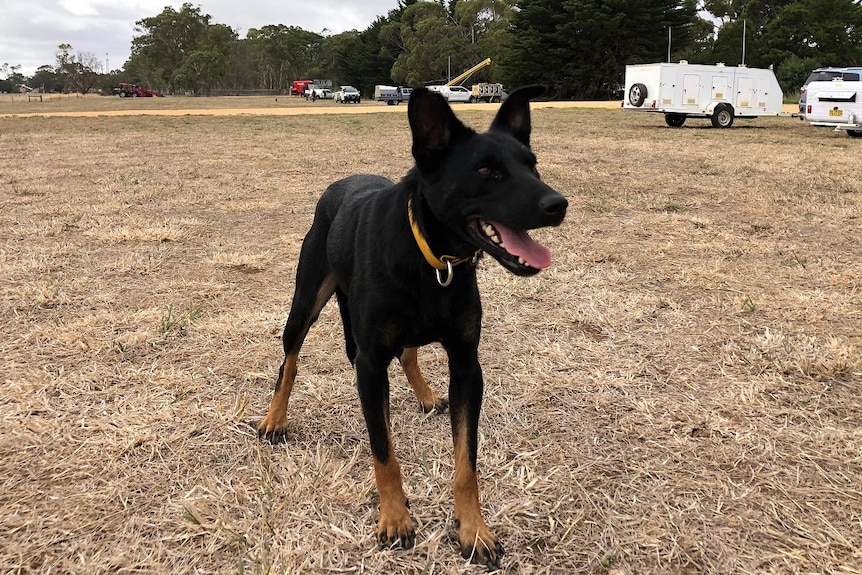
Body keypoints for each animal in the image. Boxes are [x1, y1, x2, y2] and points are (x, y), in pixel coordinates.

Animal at [260, 85, 572, 568]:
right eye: (486, 170)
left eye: (532, 164)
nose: (558, 204)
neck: (434, 258)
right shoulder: (370, 366)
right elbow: (384, 452)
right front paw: (395, 519)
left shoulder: (466, 364)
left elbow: (466, 462)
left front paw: (473, 529)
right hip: (306, 301)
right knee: (289, 360)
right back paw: (275, 419)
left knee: (407, 352)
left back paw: (425, 396)